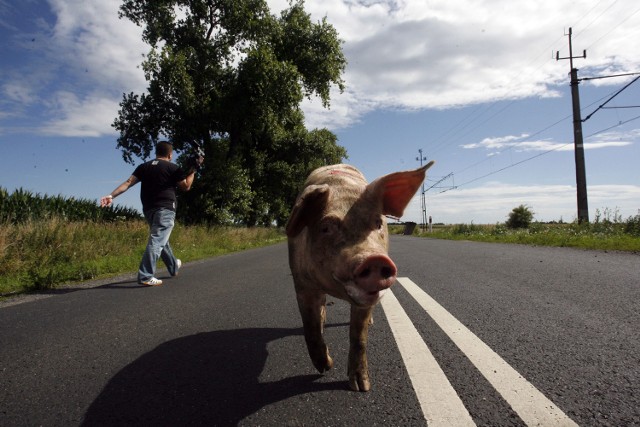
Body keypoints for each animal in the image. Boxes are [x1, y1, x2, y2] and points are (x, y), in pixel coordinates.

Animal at [286, 162, 432, 392]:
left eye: (378, 223)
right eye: (326, 227)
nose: (374, 258)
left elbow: (358, 335)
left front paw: (361, 387)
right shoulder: (301, 283)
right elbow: (310, 326)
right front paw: (325, 367)